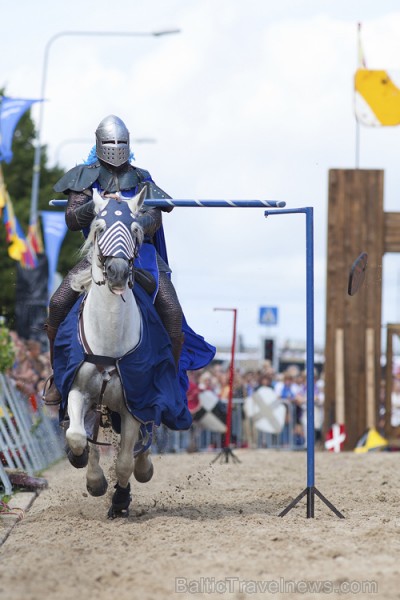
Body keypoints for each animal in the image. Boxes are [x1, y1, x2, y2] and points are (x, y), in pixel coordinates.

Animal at [65, 190, 154, 516]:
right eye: (100, 227)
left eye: (135, 230)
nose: (117, 272)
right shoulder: (78, 390)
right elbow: (78, 436)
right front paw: (92, 478)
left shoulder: (133, 405)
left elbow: (125, 461)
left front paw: (119, 501)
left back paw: (143, 467)